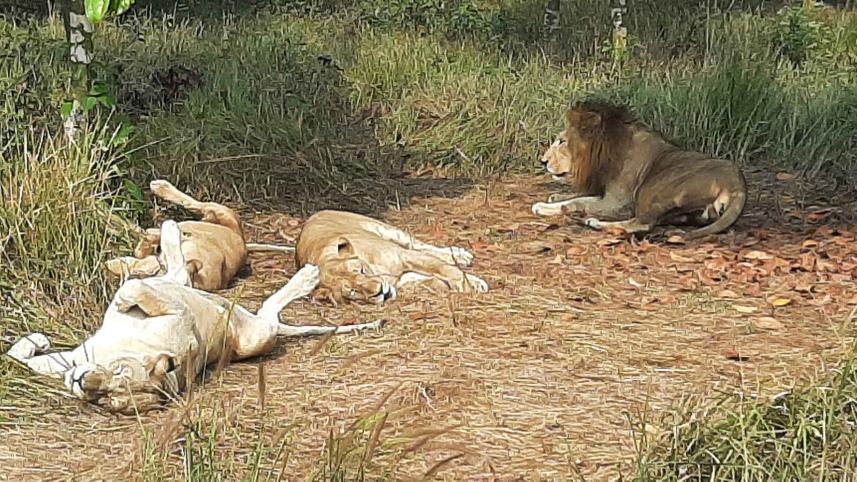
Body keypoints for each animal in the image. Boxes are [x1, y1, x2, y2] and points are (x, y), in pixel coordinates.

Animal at [7, 220, 383, 414]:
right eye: (104, 399)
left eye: (117, 384)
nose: (82, 384)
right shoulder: (70, 358)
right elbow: (22, 360)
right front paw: (34, 341)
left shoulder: (181, 320)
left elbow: (134, 288)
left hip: (257, 332)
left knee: (267, 308)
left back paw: (307, 275)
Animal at [295, 210, 489, 304]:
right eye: (353, 292)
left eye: (361, 270)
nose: (380, 291)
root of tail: (313, 215)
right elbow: (430, 279)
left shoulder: (404, 255)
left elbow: (446, 269)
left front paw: (471, 285)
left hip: (386, 230)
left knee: (420, 245)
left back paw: (461, 255)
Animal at [531, 101, 747, 239]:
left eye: (562, 141)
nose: (542, 161)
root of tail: (738, 185)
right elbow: (577, 196)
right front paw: (556, 196)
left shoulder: (618, 203)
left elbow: (578, 202)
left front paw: (543, 206)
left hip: (652, 189)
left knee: (643, 223)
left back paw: (595, 223)